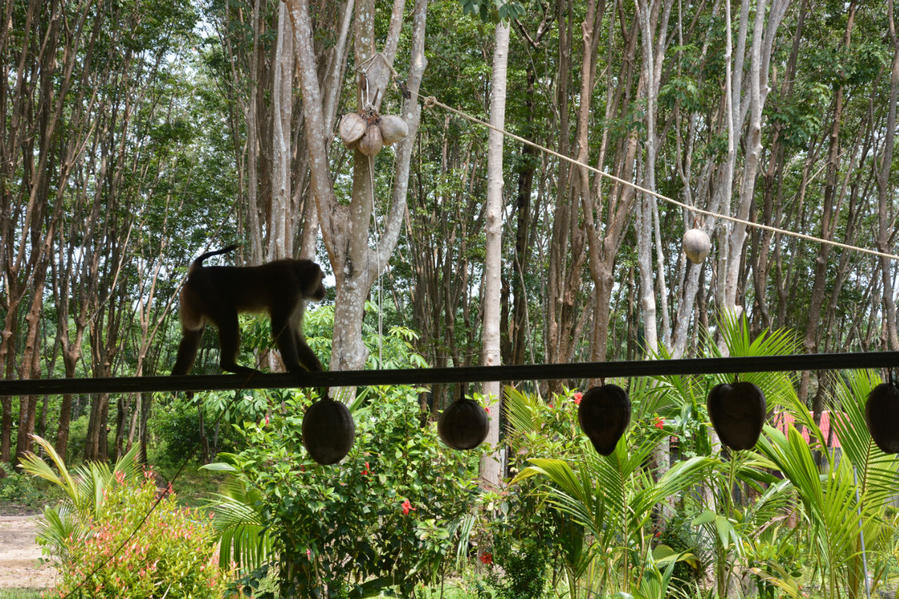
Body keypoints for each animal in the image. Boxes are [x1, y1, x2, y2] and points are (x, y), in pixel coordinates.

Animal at [171, 246, 328, 386]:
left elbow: (294, 332)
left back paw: (177, 375)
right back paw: (230, 365)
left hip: (191, 300)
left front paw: (316, 369)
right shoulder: (289, 287)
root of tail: (197, 273)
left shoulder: (298, 299)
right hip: (209, 295)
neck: (295, 272)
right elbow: (280, 326)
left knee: (192, 333)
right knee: (228, 320)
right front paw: (295, 368)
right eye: (321, 279)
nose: (323, 290)